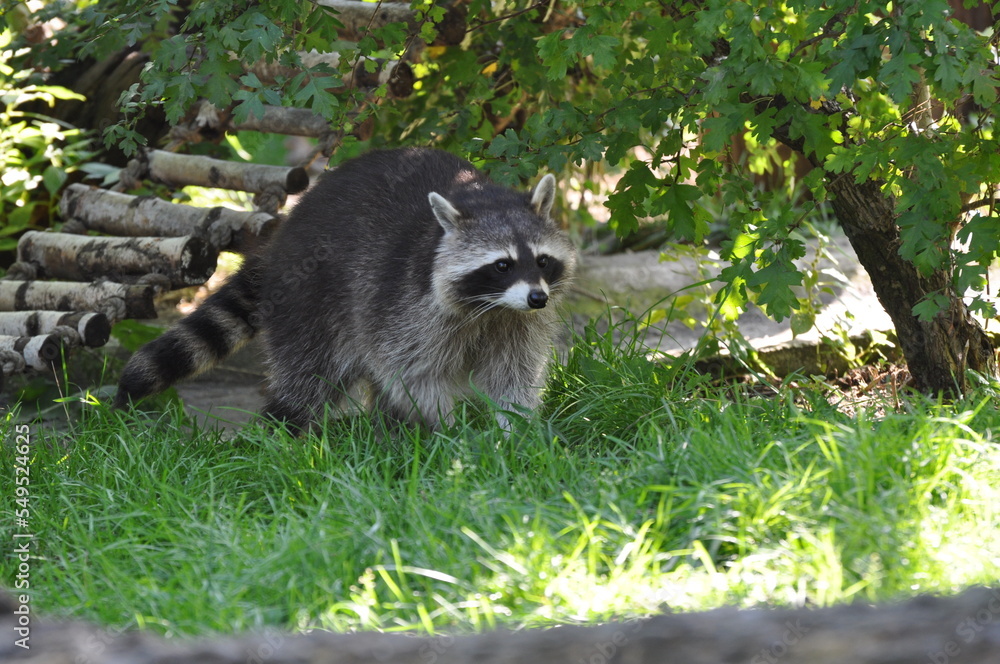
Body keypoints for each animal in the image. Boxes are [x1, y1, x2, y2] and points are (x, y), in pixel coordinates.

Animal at [114, 148, 577, 431]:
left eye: (542, 261)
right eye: (502, 265)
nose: (538, 298)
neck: (491, 306)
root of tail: (283, 234)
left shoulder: (515, 322)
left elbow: (513, 373)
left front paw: (514, 427)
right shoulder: (409, 304)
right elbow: (412, 373)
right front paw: (449, 425)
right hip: (309, 297)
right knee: (308, 375)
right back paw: (281, 430)